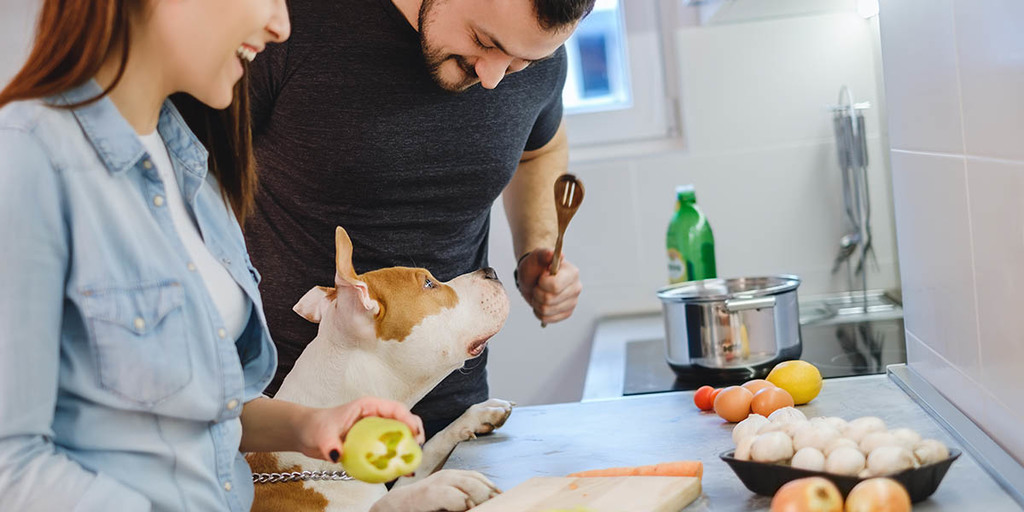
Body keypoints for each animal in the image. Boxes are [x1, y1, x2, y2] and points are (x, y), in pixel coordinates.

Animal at [247, 228, 512, 512]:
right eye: (429, 284)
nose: (490, 271)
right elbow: (389, 502)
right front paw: (441, 486)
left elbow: (428, 450)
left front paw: (477, 415)